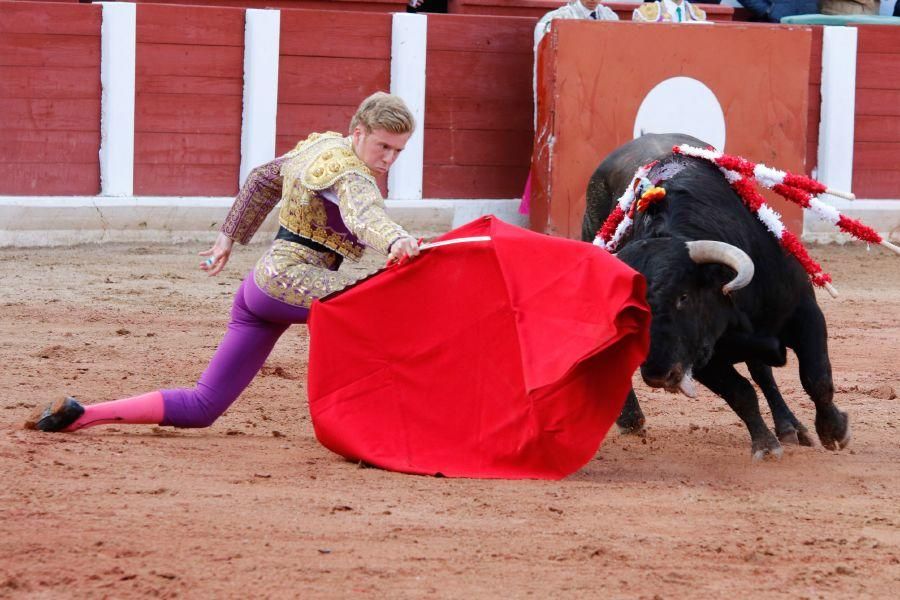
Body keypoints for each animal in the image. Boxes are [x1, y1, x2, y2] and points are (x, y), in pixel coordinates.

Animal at [580, 132, 848, 460]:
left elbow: (816, 377)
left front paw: (834, 431)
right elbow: (740, 393)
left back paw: (791, 428)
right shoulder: (701, 354)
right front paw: (765, 444)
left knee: (764, 372)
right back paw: (631, 420)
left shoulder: (805, 312)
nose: (658, 374)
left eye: (683, 297)